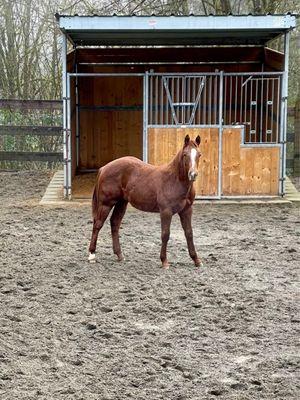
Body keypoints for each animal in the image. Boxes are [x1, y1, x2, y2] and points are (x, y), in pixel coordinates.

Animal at [88, 134, 203, 268]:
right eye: (185, 154)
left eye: (199, 154)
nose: (193, 174)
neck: (174, 180)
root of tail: (104, 168)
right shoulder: (166, 211)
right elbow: (165, 234)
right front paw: (164, 261)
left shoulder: (187, 210)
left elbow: (189, 233)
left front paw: (196, 260)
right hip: (106, 204)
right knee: (97, 224)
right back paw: (92, 255)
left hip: (121, 203)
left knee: (114, 223)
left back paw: (120, 255)